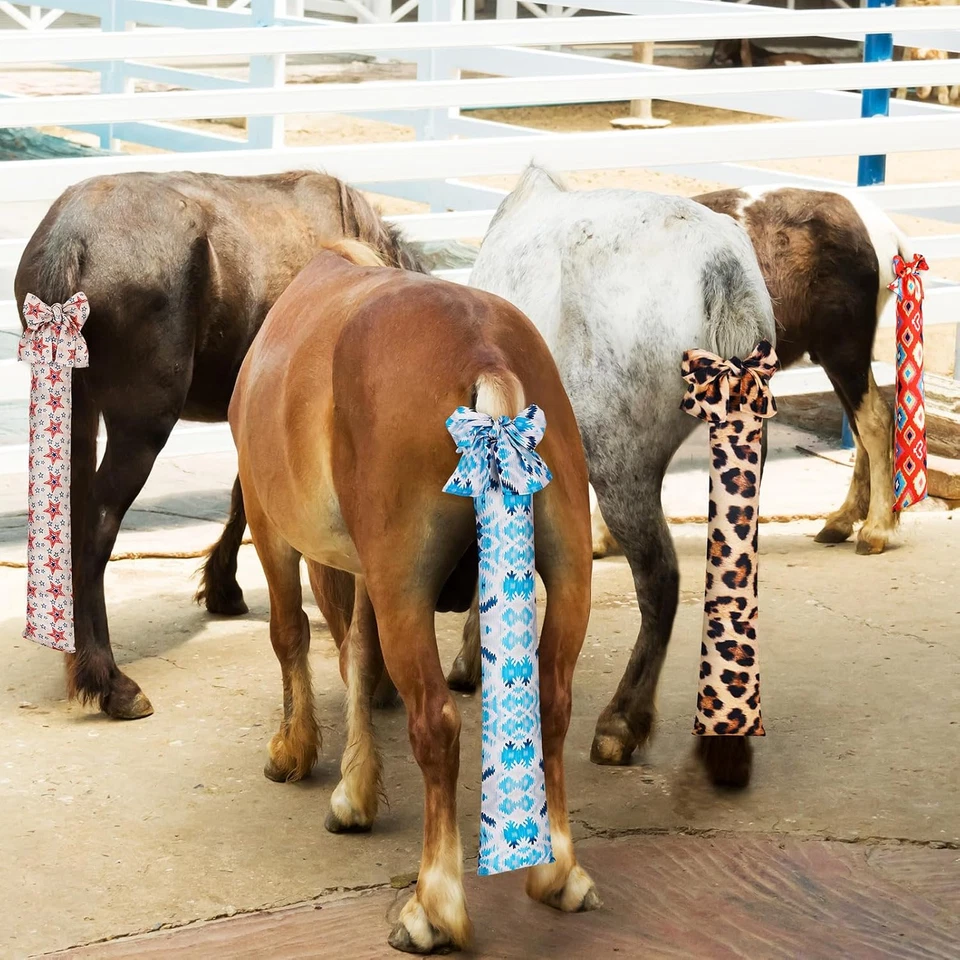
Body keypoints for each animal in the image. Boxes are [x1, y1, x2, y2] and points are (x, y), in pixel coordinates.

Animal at [15, 170, 425, 720]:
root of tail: (71, 238)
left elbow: (240, 499)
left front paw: (222, 586)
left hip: (75, 411)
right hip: (140, 430)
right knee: (97, 528)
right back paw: (110, 681)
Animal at [229, 237, 599, 953]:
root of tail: (483, 351)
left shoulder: (272, 527)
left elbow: (295, 636)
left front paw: (297, 751)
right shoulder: (367, 572)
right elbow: (359, 655)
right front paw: (355, 787)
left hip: (402, 586)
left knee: (437, 723)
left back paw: (435, 906)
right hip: (570, 569)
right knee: (553, 701)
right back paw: (559, 872)